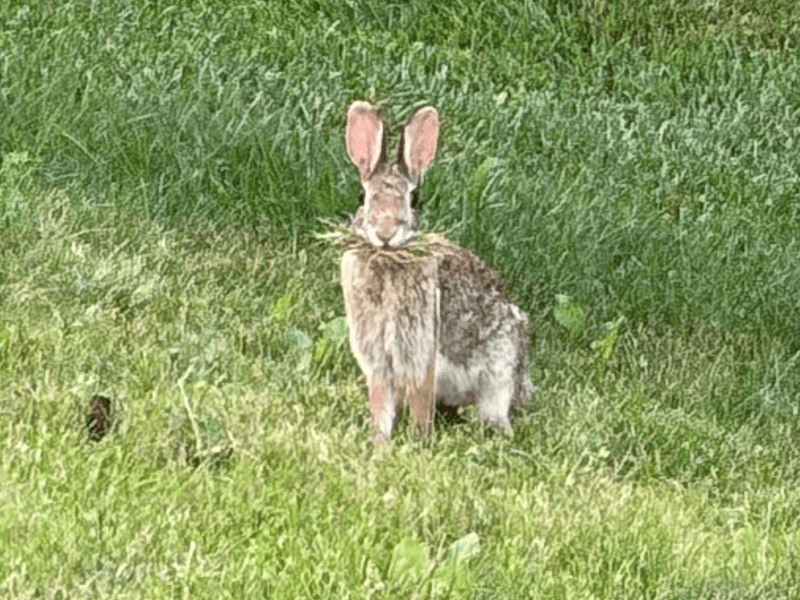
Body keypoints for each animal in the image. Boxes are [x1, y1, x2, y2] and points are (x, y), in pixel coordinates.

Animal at [341, 101, 533, 442]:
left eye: (414, 198)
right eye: (362, 197)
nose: (386, 233)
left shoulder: (420, 352)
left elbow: (420, 401)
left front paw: (419, 441)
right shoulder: (377, 359)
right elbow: (381, 403)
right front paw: (380, 441)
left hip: (500, 369)